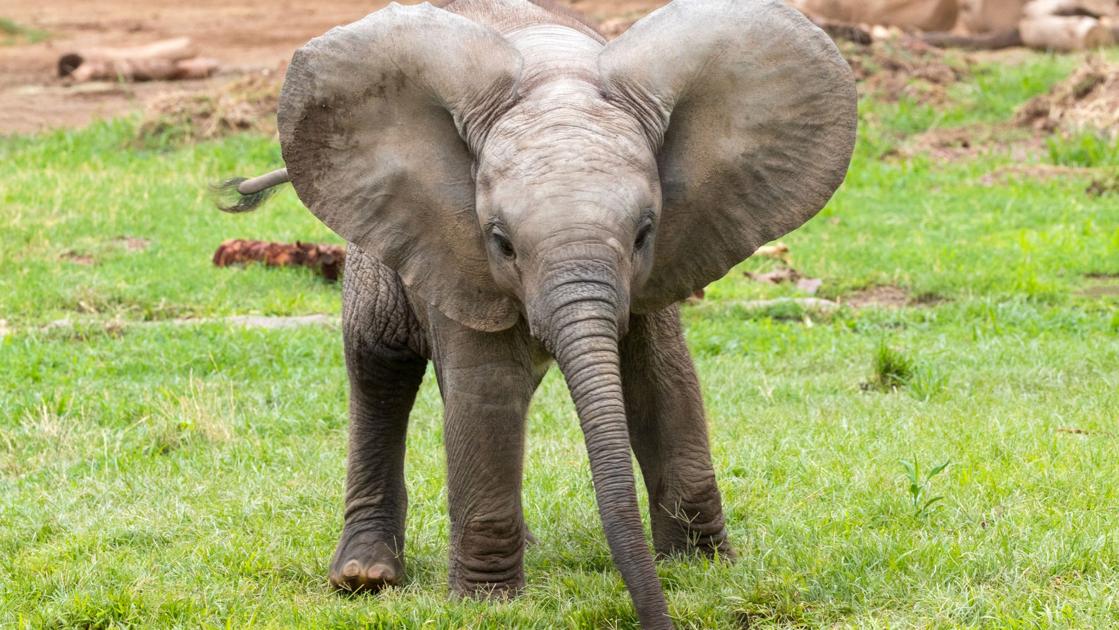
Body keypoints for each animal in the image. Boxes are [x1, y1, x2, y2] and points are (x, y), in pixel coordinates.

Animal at [215, 0, 856, 626]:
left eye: (644, 232)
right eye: (502, 242)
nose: (657, 618)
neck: (557, 72)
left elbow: (662, 379)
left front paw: (704, 571)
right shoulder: (450, 244)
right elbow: (487, 388)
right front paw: (486, 605)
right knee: (378, 367)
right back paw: (363, 577)